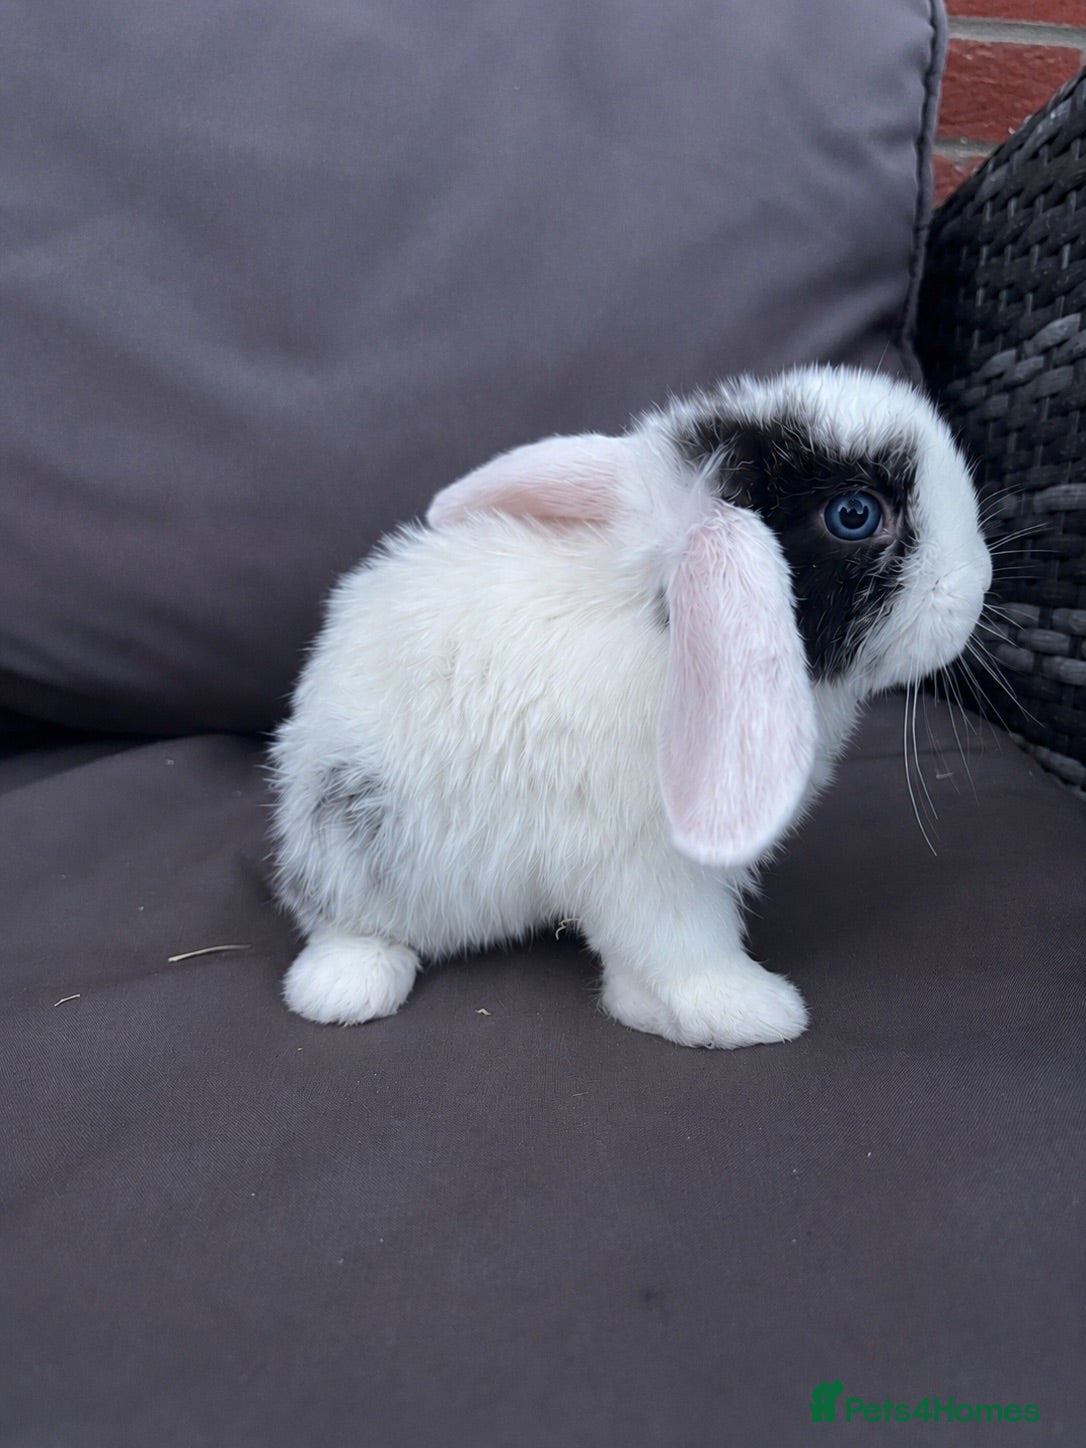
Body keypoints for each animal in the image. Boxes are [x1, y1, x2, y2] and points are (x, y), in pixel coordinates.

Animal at [269, 365, 991, 1048]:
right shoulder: (650, 863)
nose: (978, 582)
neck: (668, 621)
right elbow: (684, 944)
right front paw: (748, 1011)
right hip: (354, 844)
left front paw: (643, 1006)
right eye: (855, 515)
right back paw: (347, 987)